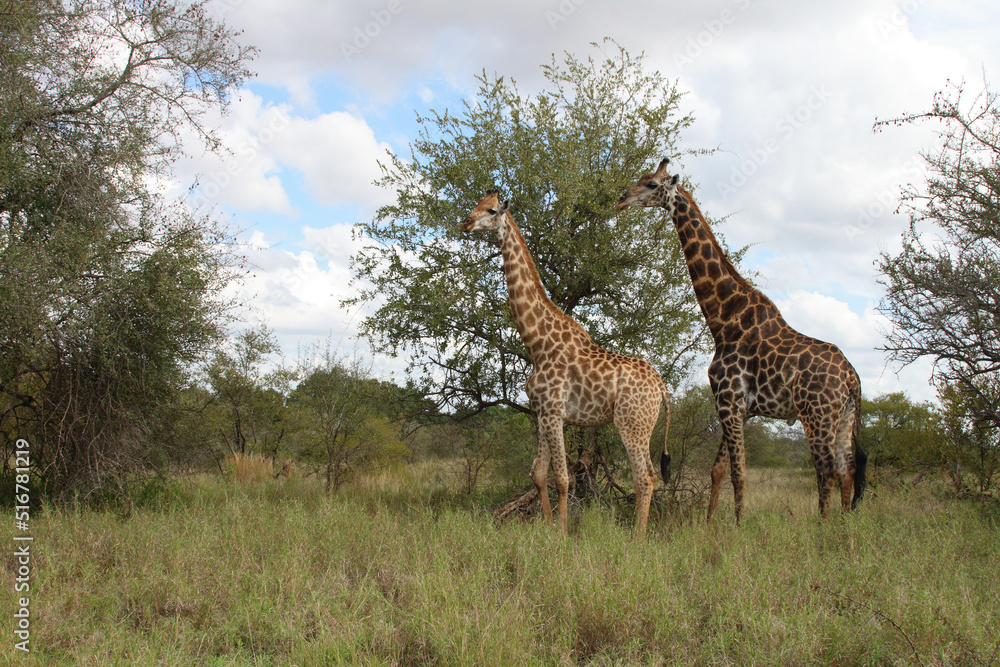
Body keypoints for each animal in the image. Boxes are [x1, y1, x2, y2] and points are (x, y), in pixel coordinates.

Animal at [461, 191, 671, 537]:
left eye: (491, 210)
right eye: (477, 204)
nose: (465, 223)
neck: (536, 342)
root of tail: (663, 389)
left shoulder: (554, 410)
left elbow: (562, 478)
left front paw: (561, 533)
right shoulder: (545, 412)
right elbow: (538, 473)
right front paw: (547, 527)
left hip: (632, 424)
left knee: (645, 476)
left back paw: (637, 538)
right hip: (640, 425)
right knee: (649, 476)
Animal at [616, 159, 867, 524]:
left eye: (651, 184)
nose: (621, 199)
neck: (724, 321)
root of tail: (852, 378)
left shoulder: (729, 400)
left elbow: (738, 473)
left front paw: (737, 527)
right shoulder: (738, 408)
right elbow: (718, 470)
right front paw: (710, 527)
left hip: (817, 414)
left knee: (827, 471)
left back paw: (823, 530)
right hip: (844, 416)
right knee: (847, 468)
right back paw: (844, 527)